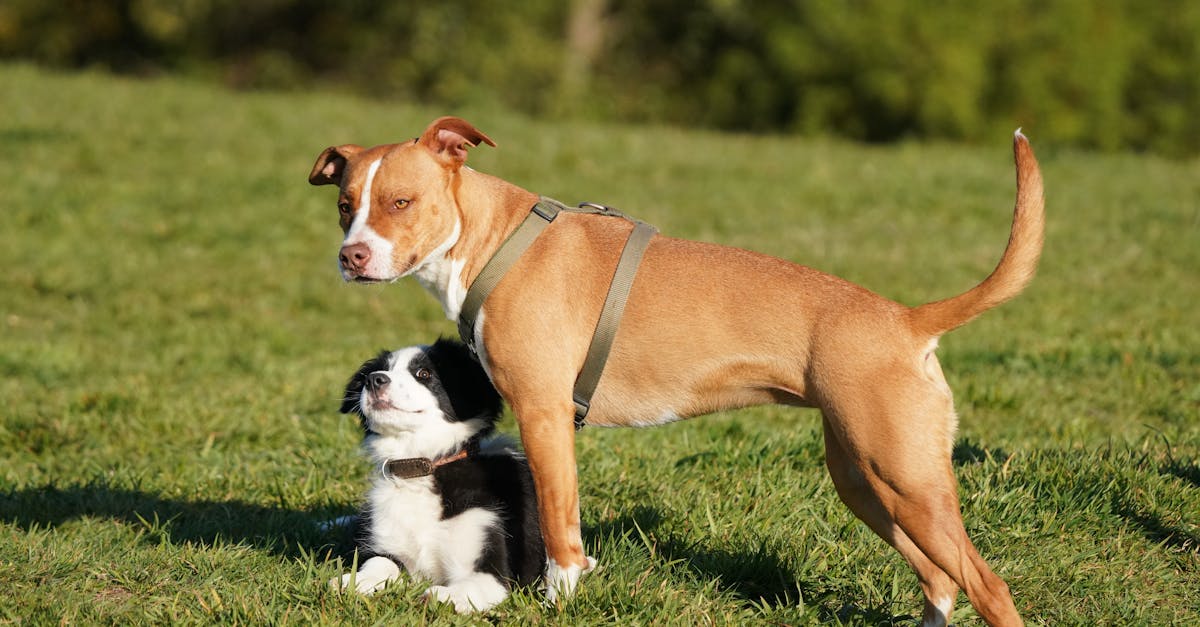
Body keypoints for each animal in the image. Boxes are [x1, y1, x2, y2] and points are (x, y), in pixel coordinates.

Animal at [336, 336, 547, 610]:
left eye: (424, 373)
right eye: (384, 369)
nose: (374, 380)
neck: (422, 467)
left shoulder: (492, 573)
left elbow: (466, 590)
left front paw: (441, 595)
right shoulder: (390, 546)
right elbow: (380, 563)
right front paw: (356, 581)